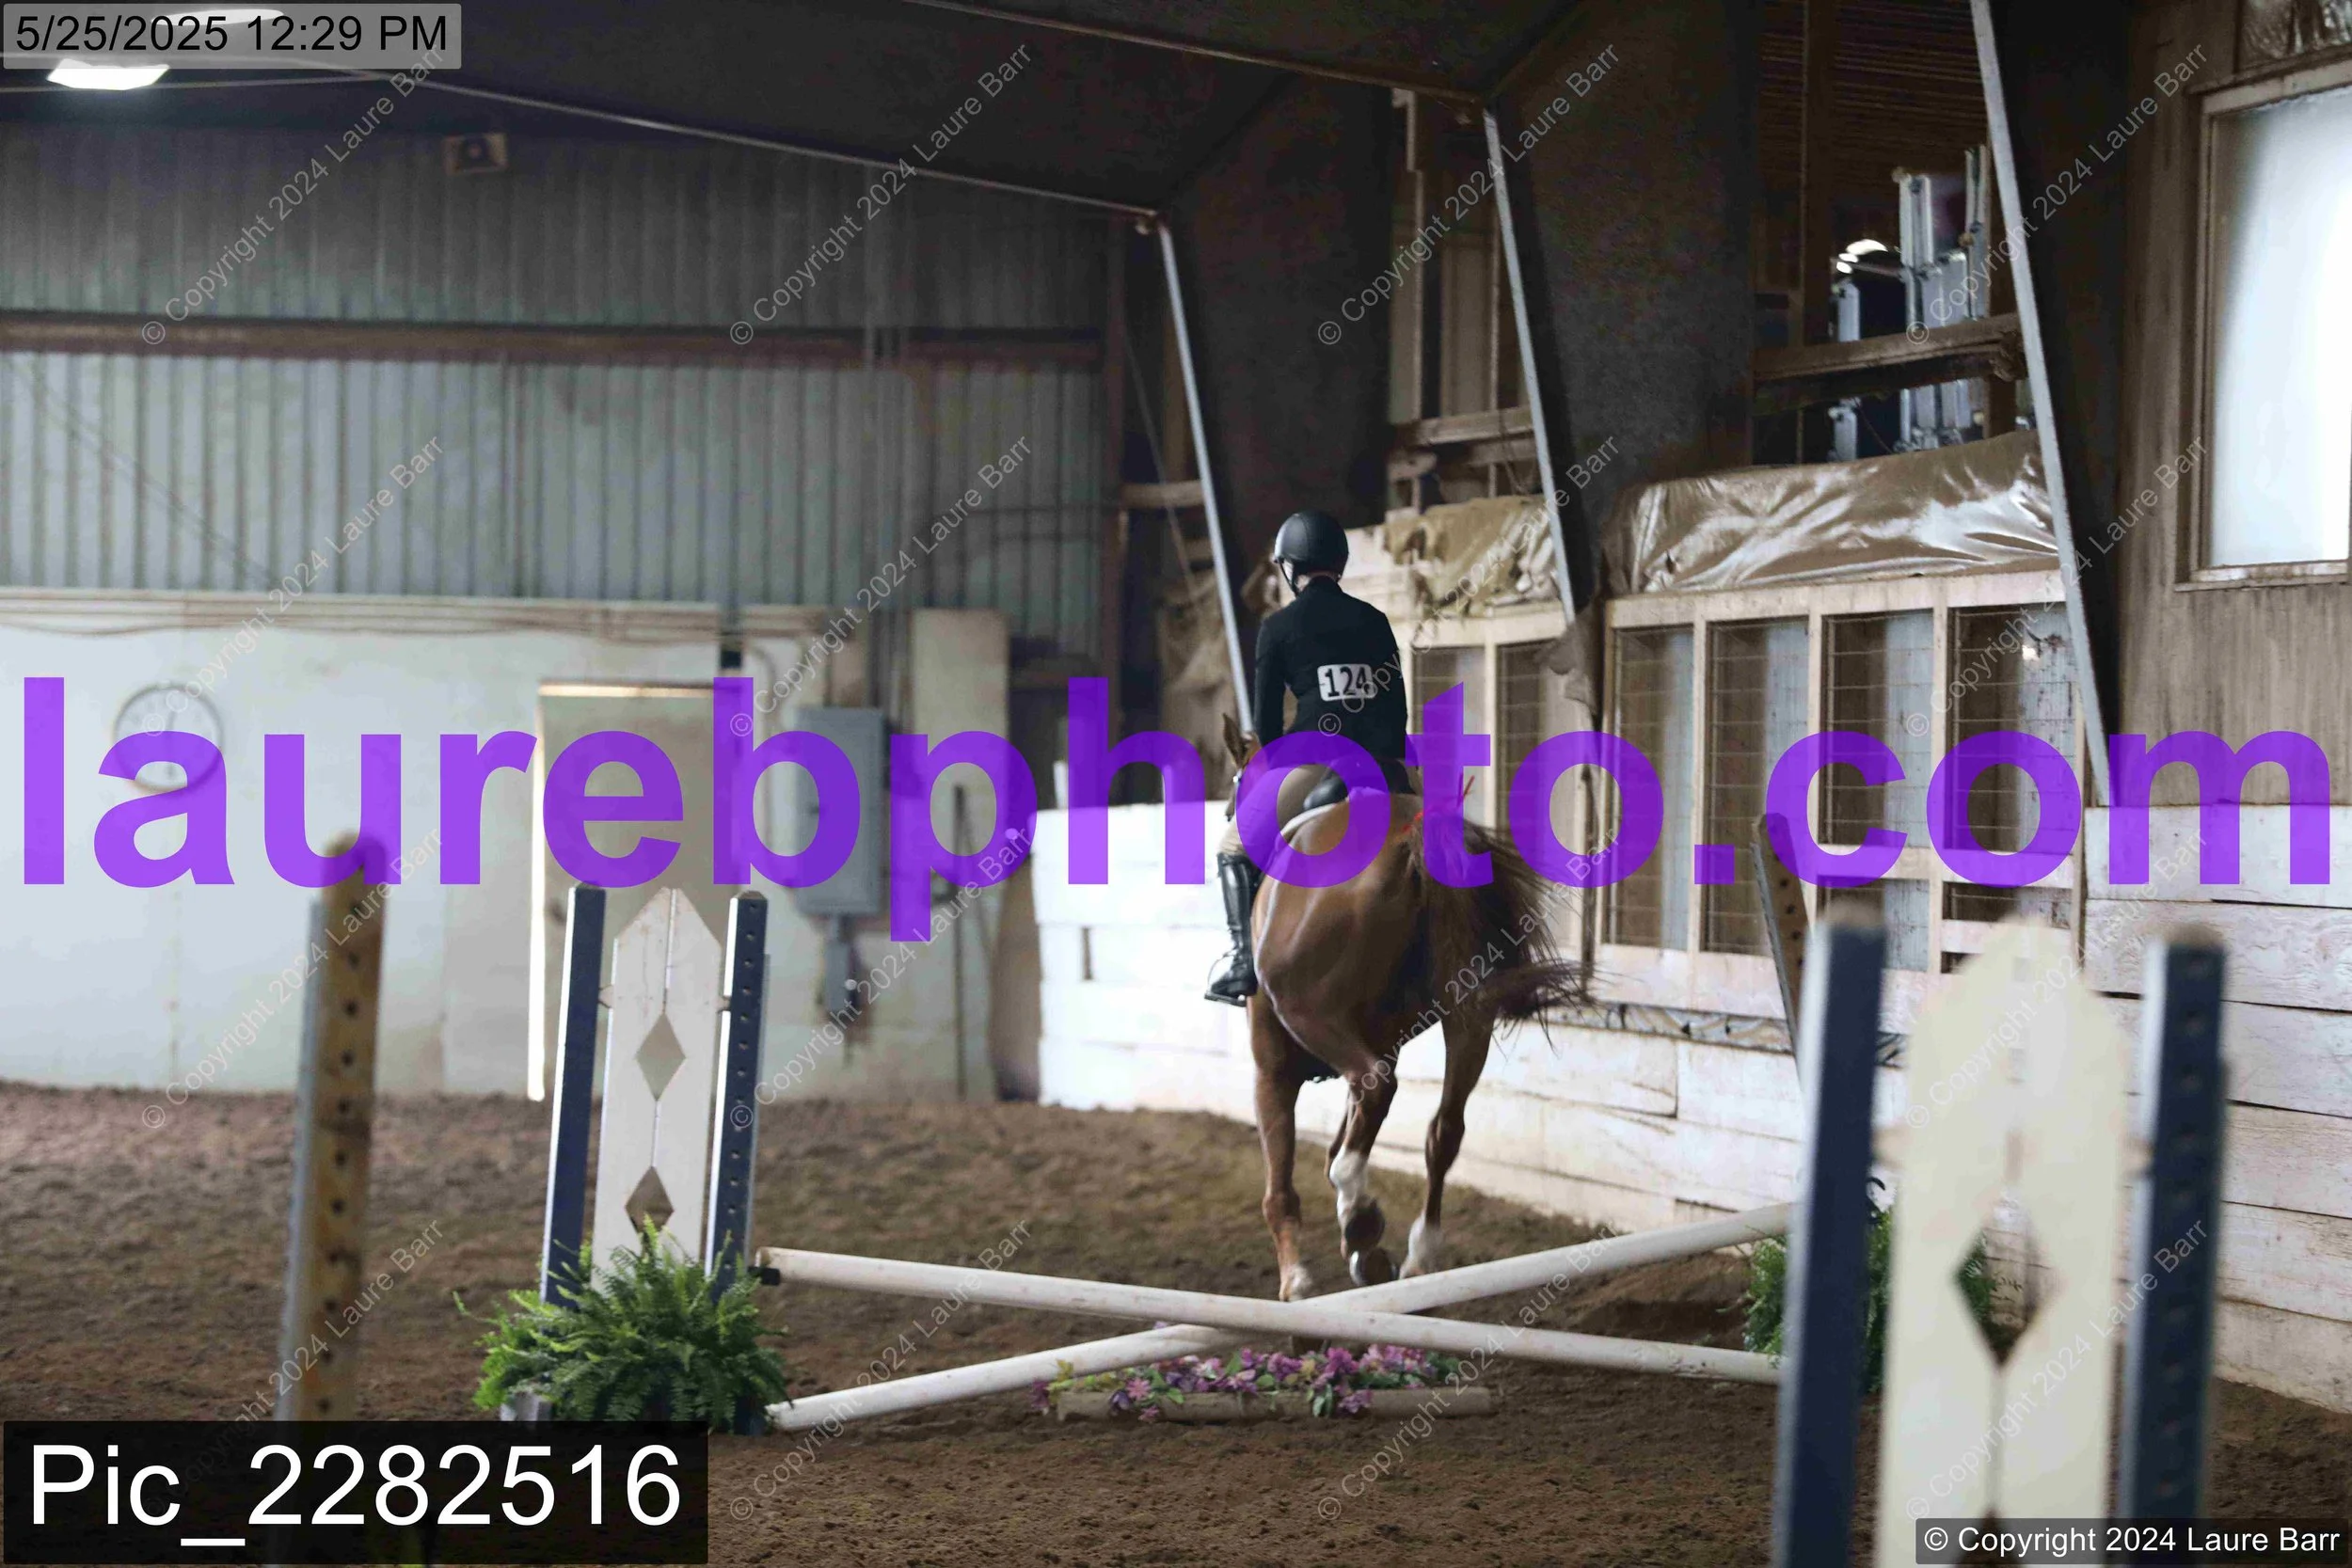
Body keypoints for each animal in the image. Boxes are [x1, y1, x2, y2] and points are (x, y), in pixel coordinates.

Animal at [1226, 722, 1589, 1300]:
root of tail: (1407, 834)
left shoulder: (1272, 1067)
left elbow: (1281, 1182)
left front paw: (1300, 1279)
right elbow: (1343, 1138)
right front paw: (1366, 1245)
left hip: (1306, 1012)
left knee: (1375, 1087)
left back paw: (1357, 1212)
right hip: (1469, 1013)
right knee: (1444, 1127)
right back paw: (1416, 1254)